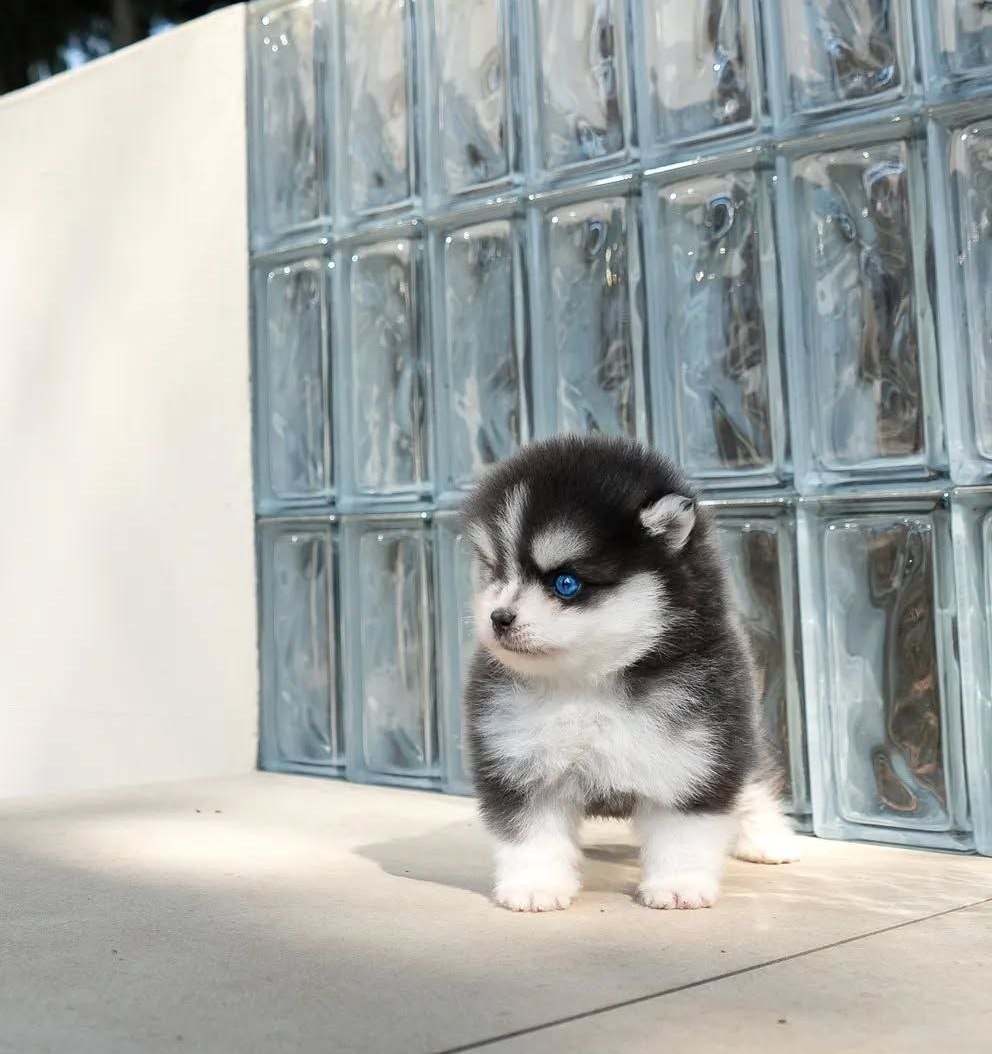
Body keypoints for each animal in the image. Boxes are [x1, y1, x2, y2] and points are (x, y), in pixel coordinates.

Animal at [460, 434, 800, 911]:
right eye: (496, 572)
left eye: (566, 583)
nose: (499, 618)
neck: (588, 684)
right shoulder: (520, 763)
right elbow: (532, 836)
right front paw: (536, 886)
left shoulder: (695, 755)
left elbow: (685, 833)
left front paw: (678, 885)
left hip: (737, 736)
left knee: (753, 783)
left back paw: (768, 839)